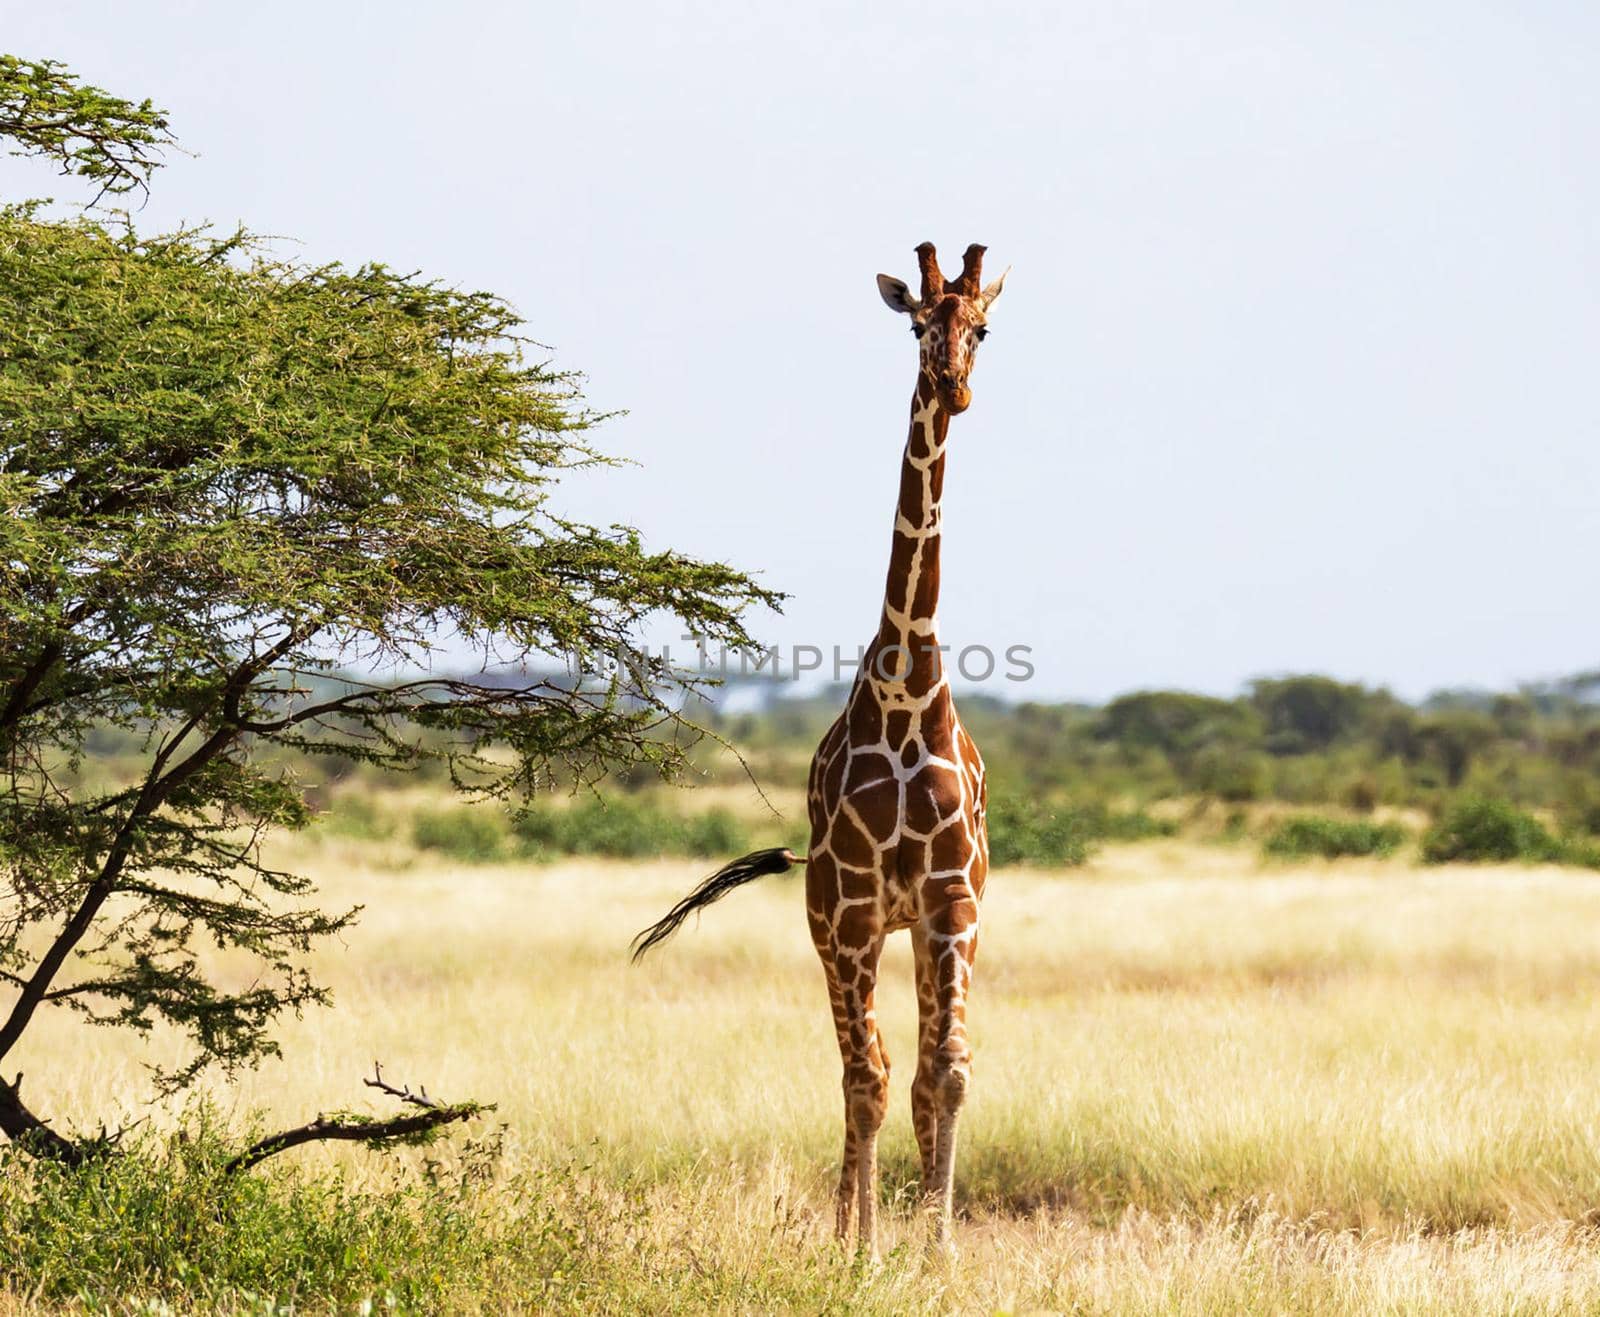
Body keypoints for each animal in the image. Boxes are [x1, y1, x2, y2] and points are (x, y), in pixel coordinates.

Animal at [630, 241, 1004, 1260]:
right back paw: (848, 1226)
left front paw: (938, 1249)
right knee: (856, 1066)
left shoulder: (951, 901)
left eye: (983, 328)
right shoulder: (855, 906)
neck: (908, 693)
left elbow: (945, 1070)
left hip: (903, 926)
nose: (953, 387)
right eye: (916, 326)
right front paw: (864, 1248)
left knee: (903, 1066)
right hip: (831, 920)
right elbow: (868, 1076)